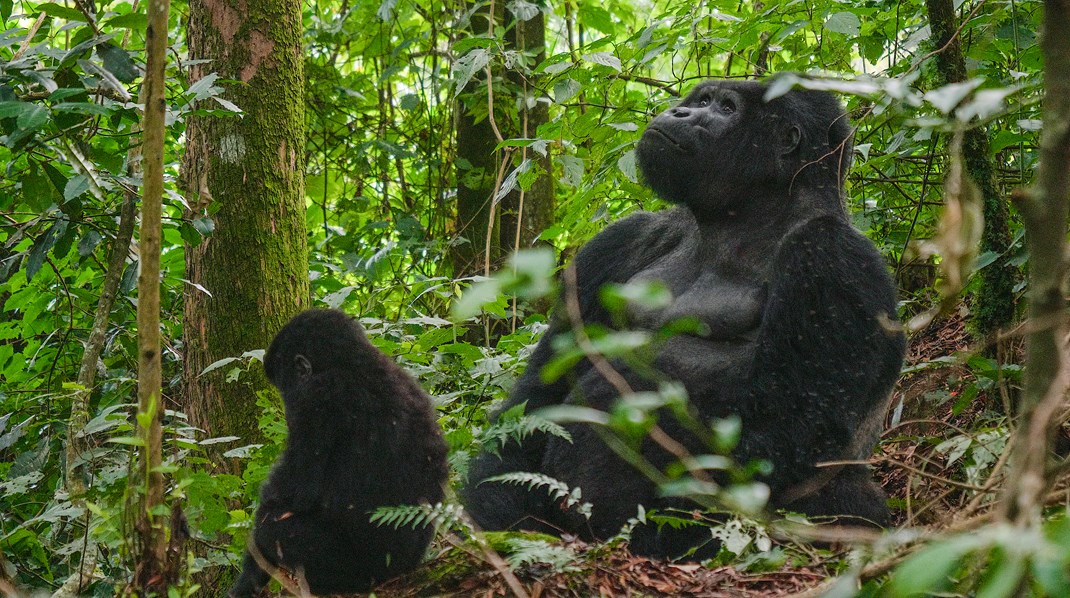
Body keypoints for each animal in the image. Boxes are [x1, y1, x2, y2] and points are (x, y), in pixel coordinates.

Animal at [230, 310, 447, 594]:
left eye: (283, 384)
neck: (353, 364)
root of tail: (400, 570)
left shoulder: (316, 399)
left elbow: (293, 493)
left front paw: (249, 575)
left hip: (357, 571)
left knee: (274, 528)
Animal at [464, 78, 907, 556]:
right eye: (701, 100)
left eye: (726, 108)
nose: (678, 112)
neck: (742, 218)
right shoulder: (619, 240)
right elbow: (537, 394)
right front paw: (495, 511)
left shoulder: (831, 254)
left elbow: (794, 425)